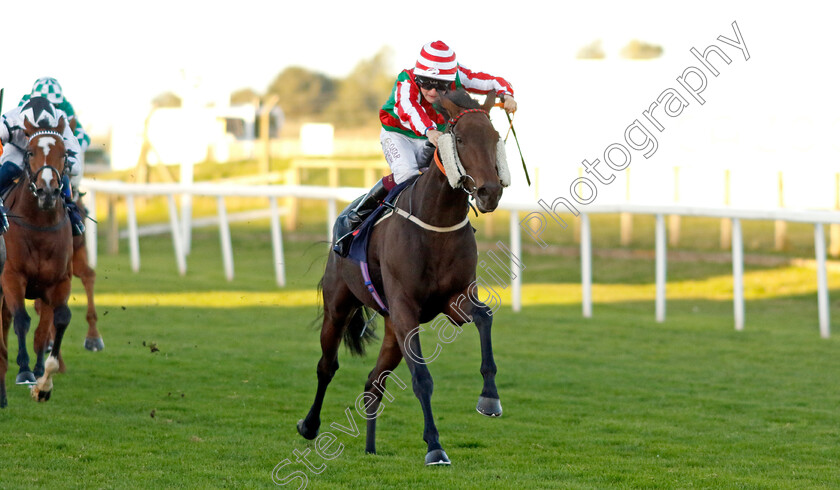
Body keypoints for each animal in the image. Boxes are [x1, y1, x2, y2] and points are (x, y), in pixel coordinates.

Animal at [0, 115, 74, 406]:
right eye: (30, 152)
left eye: (64, 154)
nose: (47, 192)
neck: (39, 225)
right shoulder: (11, 276)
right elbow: (21, 319)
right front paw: (24, 371)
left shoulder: (59, 282)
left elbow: (59, 320)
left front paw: (43, 384)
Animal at [302, 91, 512, 464]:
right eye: (459, 139)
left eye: (495, 138)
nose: (490, 192)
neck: (436, 223)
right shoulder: (405, 310)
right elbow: (422, 379)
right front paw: (435, 447)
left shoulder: (454, 299)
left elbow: (485, 316)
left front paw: (490, 398)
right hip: (339, 307)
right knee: (327, 366)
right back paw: (309, 426)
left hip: (391, 330)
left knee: (373, 383)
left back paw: (370, 448)